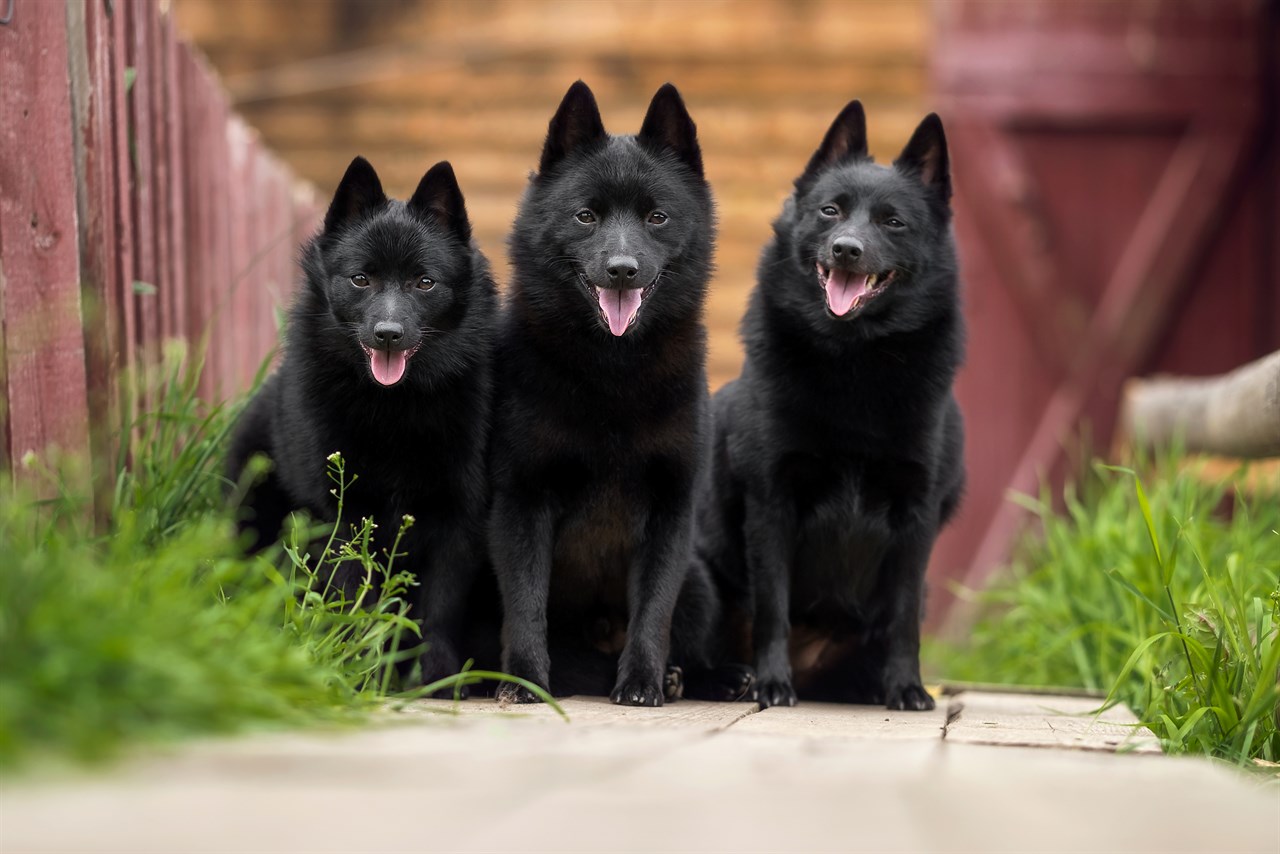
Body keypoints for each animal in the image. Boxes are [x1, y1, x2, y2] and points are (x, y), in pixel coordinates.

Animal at [225, 156, 494, 691]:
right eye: (360, 279)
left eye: (424, 282)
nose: (388, 333)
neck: (396, 409)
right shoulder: (342, 516)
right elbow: (358, 597)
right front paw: (364, 668)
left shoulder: (459, 517)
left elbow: (438, 607)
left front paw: (429, 675)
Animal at [486, 81, 742, 706]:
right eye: (586, 216)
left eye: (656, 217)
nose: (622, 269)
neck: (613, 373)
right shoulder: (522, 503)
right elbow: (526, 605)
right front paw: (524, 680)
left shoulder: (671, 514)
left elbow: (653, 611)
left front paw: (643, 682)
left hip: (698, 582)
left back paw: (701, 677)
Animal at [701, 103, 962, 711]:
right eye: (830, 211)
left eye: (892, 222)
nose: (846, 248)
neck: (853, 361)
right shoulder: (771, 503)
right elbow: (773, 607)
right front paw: (773, 685)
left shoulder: (917, 517)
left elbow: (903, 621)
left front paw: (906, 688)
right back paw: (725, 678)